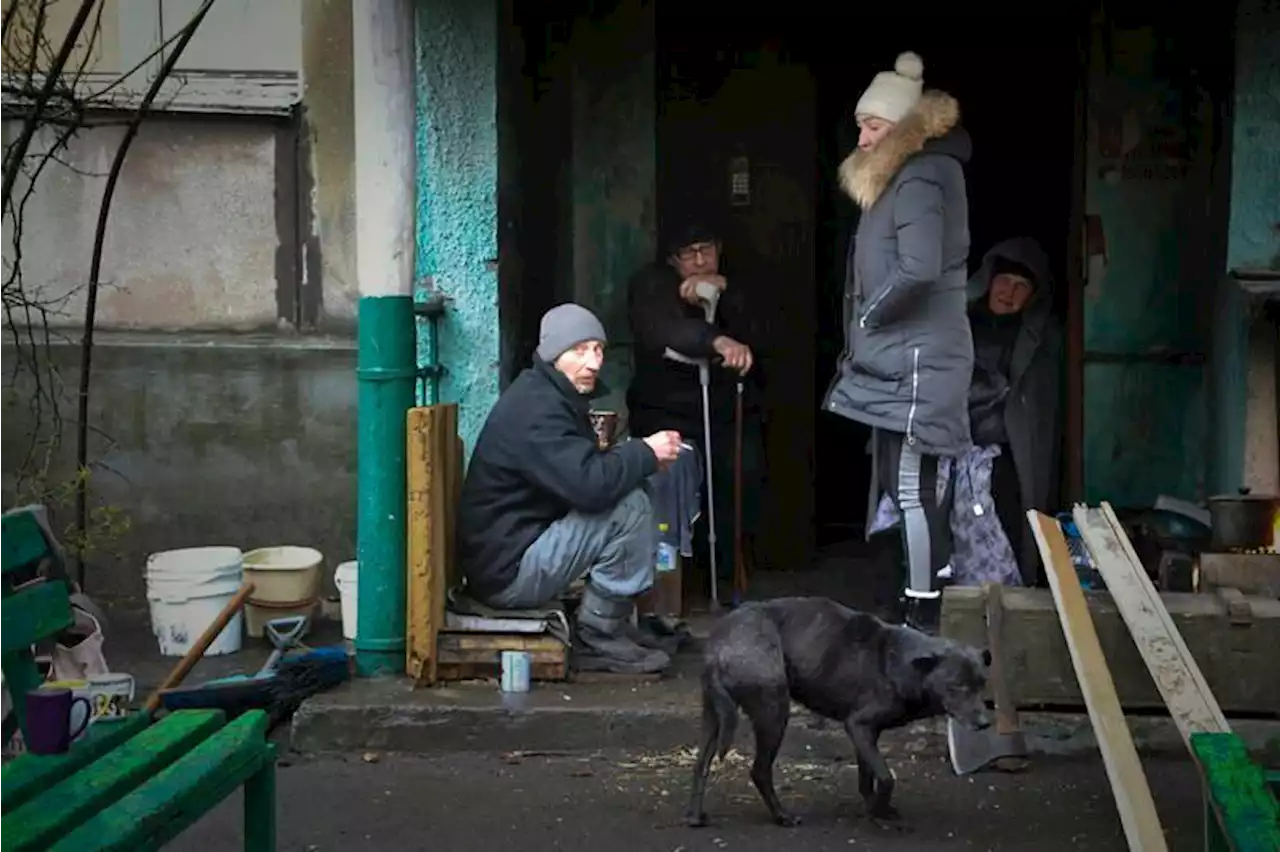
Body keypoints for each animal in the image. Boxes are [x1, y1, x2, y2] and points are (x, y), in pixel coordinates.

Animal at [686, 593, 993, 823]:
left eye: (981, 684)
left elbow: (867, 777)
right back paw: (783, 816)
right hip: (774, 712)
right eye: (956, 687)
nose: (985, 723)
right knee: (759, 771)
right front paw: (879, 809)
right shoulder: (858, 725)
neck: (899, 663)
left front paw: (875, 809)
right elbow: (886, 777)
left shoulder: (867, 733)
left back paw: (694, 817)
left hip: (713, 717)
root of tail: (718, 647)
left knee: (700, 764)